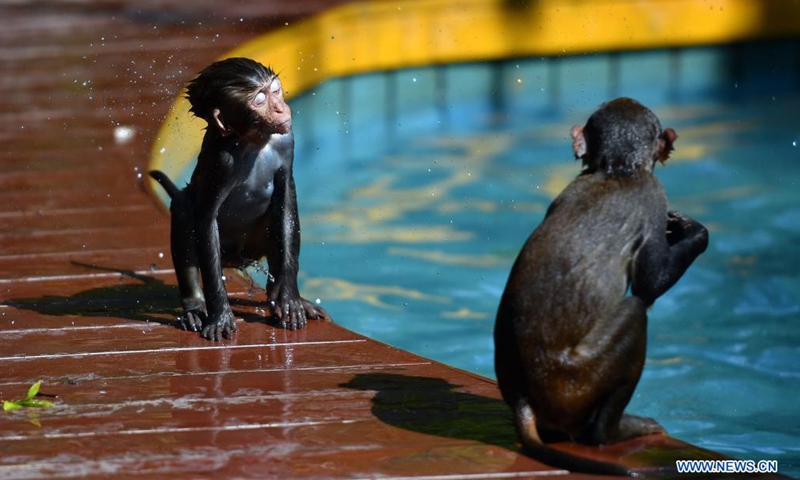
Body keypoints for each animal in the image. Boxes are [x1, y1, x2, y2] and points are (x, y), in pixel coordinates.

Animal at [150, 57, 328, 341]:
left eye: (275, 91)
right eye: (259, 100)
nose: (280, 108)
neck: (253, 141)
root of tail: (237, 259)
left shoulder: (286, 141)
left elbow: (286, 204)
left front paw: (290, 298)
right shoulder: (220, 162)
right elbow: (205, 219)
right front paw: (220, 314)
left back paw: (276, 293)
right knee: (184, 210)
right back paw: (195, 305)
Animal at [494, 98, 709, 475]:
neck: (618, 169)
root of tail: (523, 400)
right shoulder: (653, 195)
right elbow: (650, 284)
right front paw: (694, 232)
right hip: (577, 384)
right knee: (636, 310)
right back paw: (609, 432)